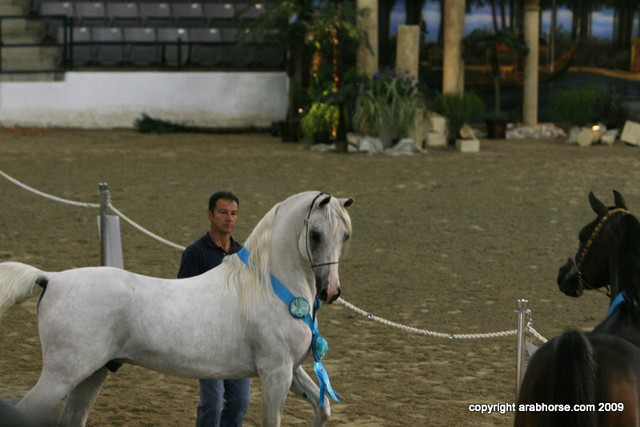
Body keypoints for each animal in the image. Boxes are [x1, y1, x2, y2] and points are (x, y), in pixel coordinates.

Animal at [0, 191, 353, 427]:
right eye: (315, 234)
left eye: (346, 236)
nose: (331, 291)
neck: (265, 287)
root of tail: (51, 278)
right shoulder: (275, 372)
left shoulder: (291, 370)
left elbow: (323, 408)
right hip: (62, 375)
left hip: (91, 374)